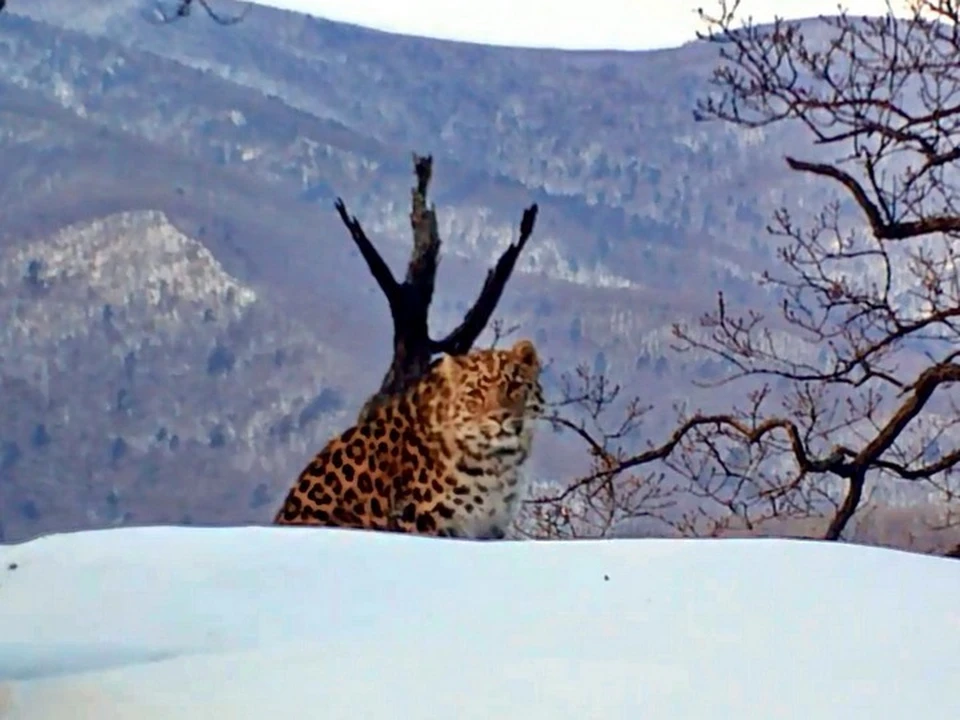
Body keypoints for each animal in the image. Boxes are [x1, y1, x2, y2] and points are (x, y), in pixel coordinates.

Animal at [274, 340, 544, 536]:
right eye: (475, 393)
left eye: (513, 386)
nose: (499, 417)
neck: (500, 462)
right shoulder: (422, 519)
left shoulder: (492, 525)